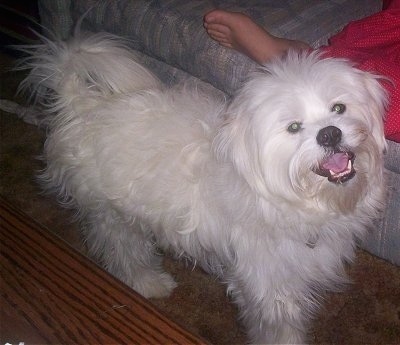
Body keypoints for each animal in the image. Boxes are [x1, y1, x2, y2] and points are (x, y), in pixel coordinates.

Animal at [19, 31, 388, 342]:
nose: (330, 133)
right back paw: (150, 284)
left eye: (338, 107)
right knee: (124, 253)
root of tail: (81, 104)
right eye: (293, 127)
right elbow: (281, 329)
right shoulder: (269, 287)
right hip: (111, 213)